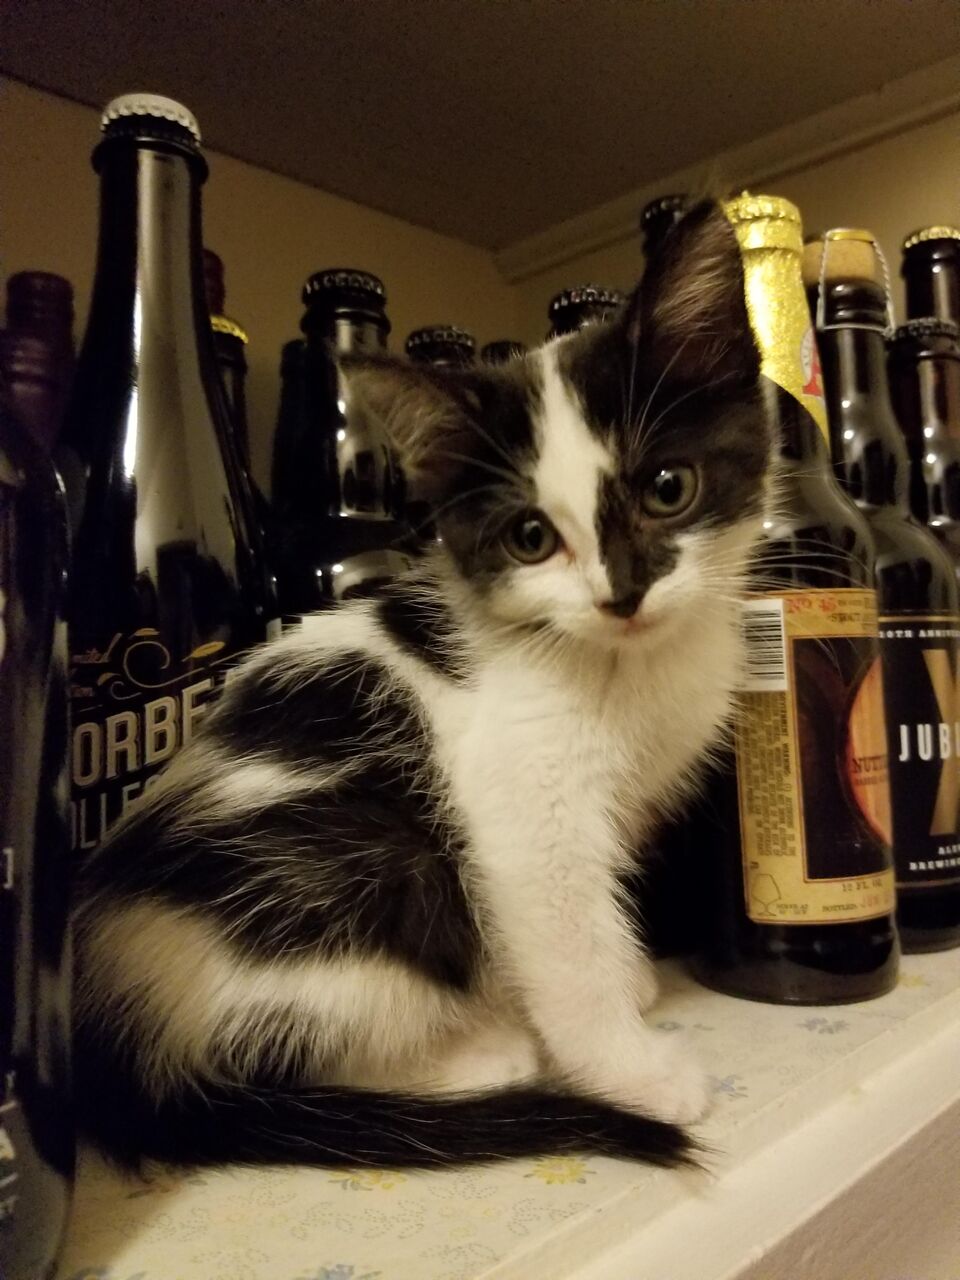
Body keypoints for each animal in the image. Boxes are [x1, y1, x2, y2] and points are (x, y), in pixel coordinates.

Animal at [73, 199, 773, 1171]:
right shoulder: (519, 793)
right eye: (530, 537)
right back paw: (478, 1054)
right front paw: (630, 1068)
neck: (626, 662)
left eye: (669, 488)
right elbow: (563, 928)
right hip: (368, 861)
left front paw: (632, 985)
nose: (622, 593)